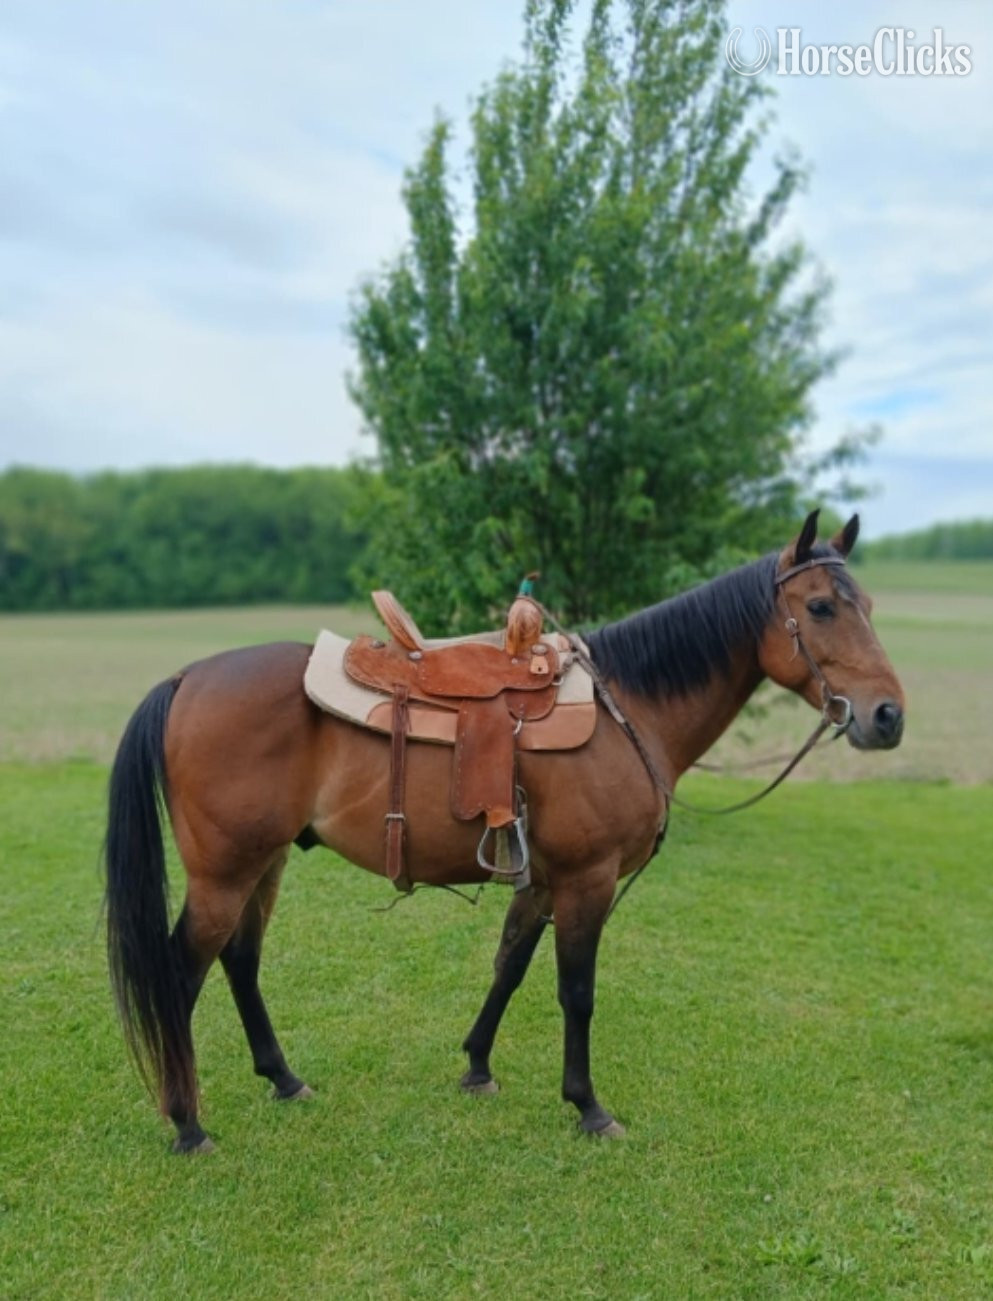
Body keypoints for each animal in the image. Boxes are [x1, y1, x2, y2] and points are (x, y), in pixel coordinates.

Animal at [104, 510, 905, 1152]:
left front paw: (477, 1065)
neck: (629, 708)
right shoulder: (587, 880)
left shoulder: (544, 878)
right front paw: (587, 1106)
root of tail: (185, 679)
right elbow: (576, 990)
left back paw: (283, 1078)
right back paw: (187, 1122)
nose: (888, 716)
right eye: (821, 606)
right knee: (180, 972)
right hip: (225, 873)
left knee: (240, 961)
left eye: (865, 603)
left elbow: (510, 965)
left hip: (264, 862)